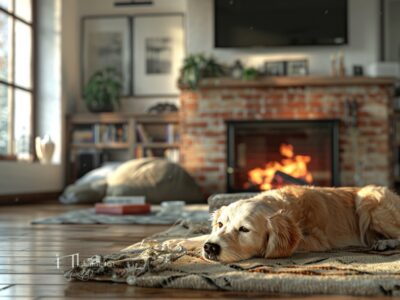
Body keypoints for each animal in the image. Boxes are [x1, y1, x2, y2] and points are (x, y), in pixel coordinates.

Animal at [162, 184, 400, 264]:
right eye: (220, 224)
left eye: (244, 229)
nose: (211, 249)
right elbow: (201, 236)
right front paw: (173, 242)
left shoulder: (316, 239)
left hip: (368, 201)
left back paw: (384, 243)